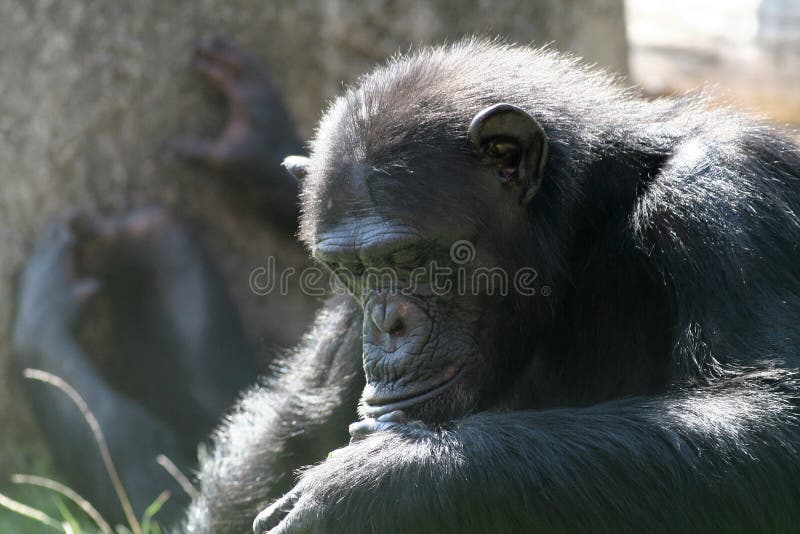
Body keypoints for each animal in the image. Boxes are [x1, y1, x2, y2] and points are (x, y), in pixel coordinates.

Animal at [9, 38, 800, 534]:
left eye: (414, 258)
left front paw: (376, 484)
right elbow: (288, 428)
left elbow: (762, 419)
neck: (586, 228)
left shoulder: (730, 196)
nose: (386, 325)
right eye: (359, 271)